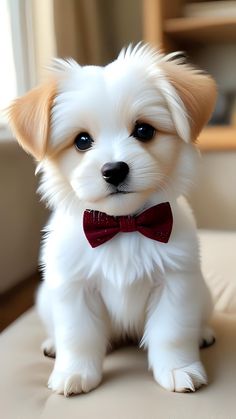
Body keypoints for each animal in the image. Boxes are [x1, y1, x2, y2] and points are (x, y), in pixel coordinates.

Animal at [8, 45, 217, 398]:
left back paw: (202, 332)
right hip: (45, 299)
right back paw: (52, 344)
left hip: (203, 293)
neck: (123, 225)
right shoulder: (73, 287)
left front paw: (179, 368)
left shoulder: (176, 282)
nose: (114, 170)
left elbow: (172, 332)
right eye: (81, 141)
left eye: (144, 130)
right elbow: (77, 335)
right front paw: (74, 372)